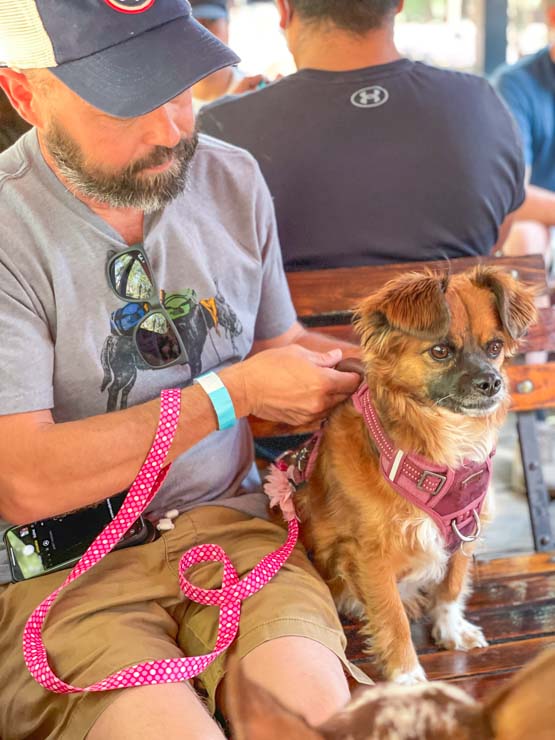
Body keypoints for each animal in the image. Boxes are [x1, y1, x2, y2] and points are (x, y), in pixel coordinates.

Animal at [272, 264, 536, 684]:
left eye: (495, 347)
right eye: (441, 351)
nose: (492, 382)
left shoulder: (466, 528)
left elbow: (452, 584)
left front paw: (450, 629)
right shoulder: (370, 555)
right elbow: (391, 616)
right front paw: (406, 677)